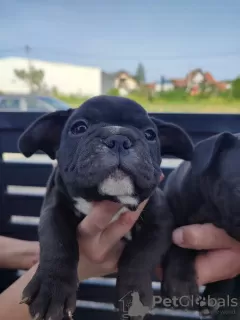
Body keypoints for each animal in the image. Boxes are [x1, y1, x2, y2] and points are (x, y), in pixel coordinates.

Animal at [17, 95, 193, 320]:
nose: (118, 139)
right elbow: (57, 243)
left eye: (150, 135)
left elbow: (140, 256)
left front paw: (133, 295)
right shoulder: (54, 210)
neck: (108, 199)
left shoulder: (160, 221)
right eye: (79, 128)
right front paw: (52, 289)